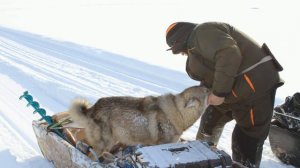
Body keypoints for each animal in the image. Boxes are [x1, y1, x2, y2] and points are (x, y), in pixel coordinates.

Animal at [68, 85, 209, 156]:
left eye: (206, 88)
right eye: (207, 91)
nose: (212, 88)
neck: (179, 113)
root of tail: (94, 107)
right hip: (106, 143)